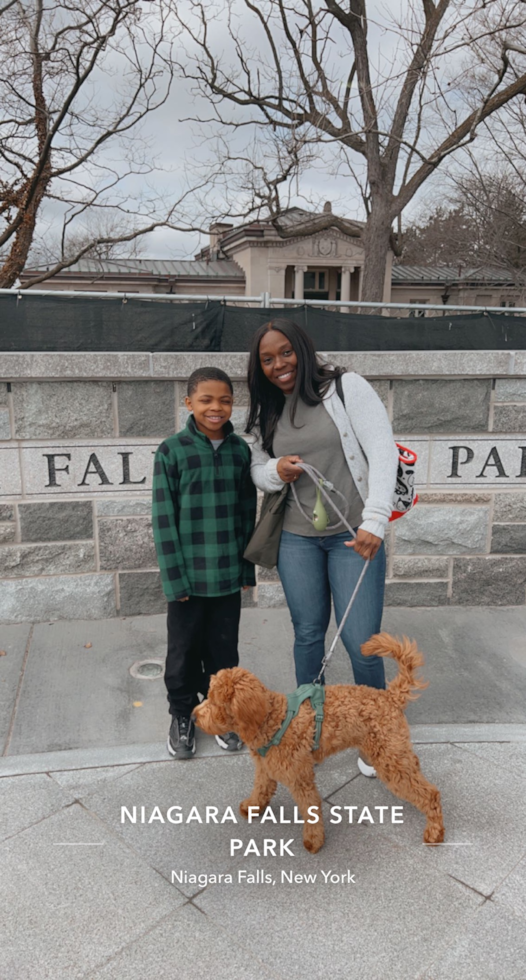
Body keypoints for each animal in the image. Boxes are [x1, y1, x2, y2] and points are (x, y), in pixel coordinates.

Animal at [194, 632, 446, 852]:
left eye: (215, 702)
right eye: (208, 695)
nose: (194, 716)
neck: (272, 720)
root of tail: (391, 696)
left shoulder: (300, 778)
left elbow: (311, 809)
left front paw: (313, 841)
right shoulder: (265, 769)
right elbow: (261, 789)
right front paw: (252, 807)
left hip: (390, 759)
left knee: (431, 793)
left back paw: (434, 832)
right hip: (394, 751)